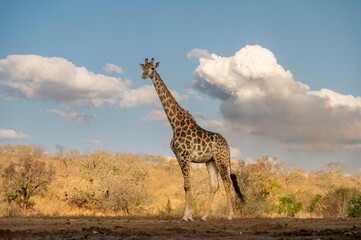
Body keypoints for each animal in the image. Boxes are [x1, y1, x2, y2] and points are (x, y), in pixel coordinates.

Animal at [139, 58, 243, 221]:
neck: (175, 124)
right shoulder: (179, 157)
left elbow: (188, 185)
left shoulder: (185, 156)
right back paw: (204, 216)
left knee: (227, 183)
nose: (144, 75)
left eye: (152, 69)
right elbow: (186, 185)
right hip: (210, 161)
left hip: (221, 159)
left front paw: (186, 216)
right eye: (144, 67)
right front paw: (189, 215)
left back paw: (230, 215)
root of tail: (228, 145)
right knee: (214, 185)